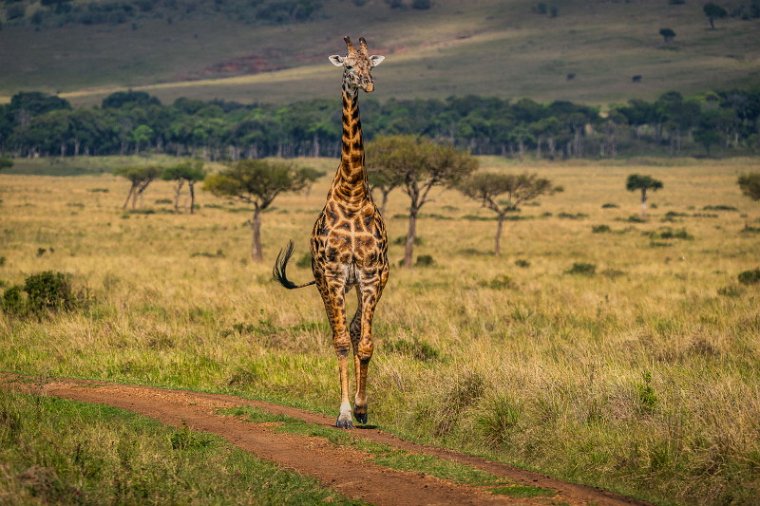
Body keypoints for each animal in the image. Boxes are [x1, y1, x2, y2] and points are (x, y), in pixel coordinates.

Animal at [274, 35, 388, 428]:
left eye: (371, 64)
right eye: (348, 66)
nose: (368, 84)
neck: (352, 193)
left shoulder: (371, 274)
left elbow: (364, 342)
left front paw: (363, 409)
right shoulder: (335, 273)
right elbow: (338, 341)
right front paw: (343, 414)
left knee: (353, 330)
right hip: (324, 280)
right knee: (338, 332)